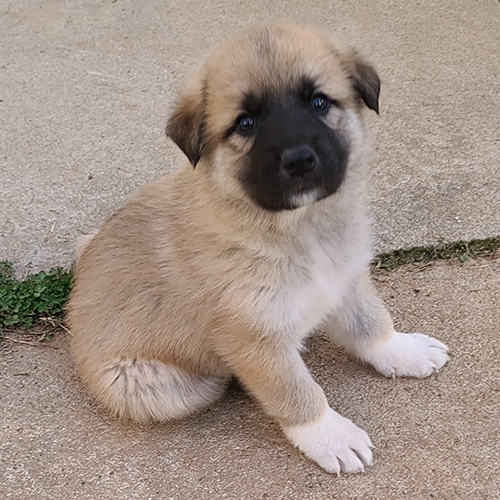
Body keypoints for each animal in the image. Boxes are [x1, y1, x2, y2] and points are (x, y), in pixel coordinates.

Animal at [67, 23, 450, 474]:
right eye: (245, 123)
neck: (298, 230)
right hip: (152, 386)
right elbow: (297, 392)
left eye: (319, 101)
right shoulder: (253, 338)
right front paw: (330, 435)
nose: (299, 159)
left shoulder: (344, 282)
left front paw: (401, 350)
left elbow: (371, 323)